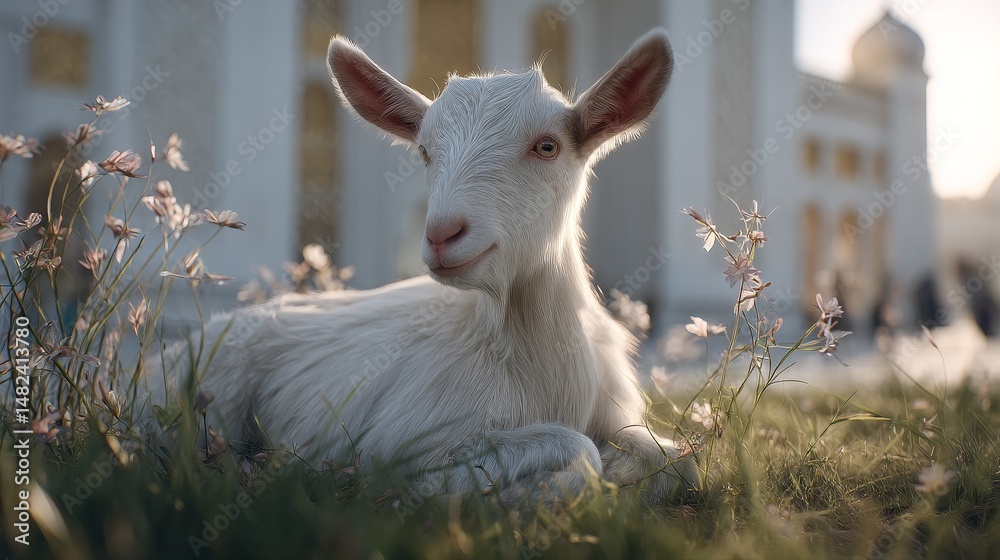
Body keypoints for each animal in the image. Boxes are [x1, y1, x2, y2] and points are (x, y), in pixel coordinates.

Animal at [149, 29, 698, 504]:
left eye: (547, 146)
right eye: (424, 151)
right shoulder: (402, 436)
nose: (441, 234)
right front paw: (454, 493)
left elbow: (680, 461)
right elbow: (579, 453)